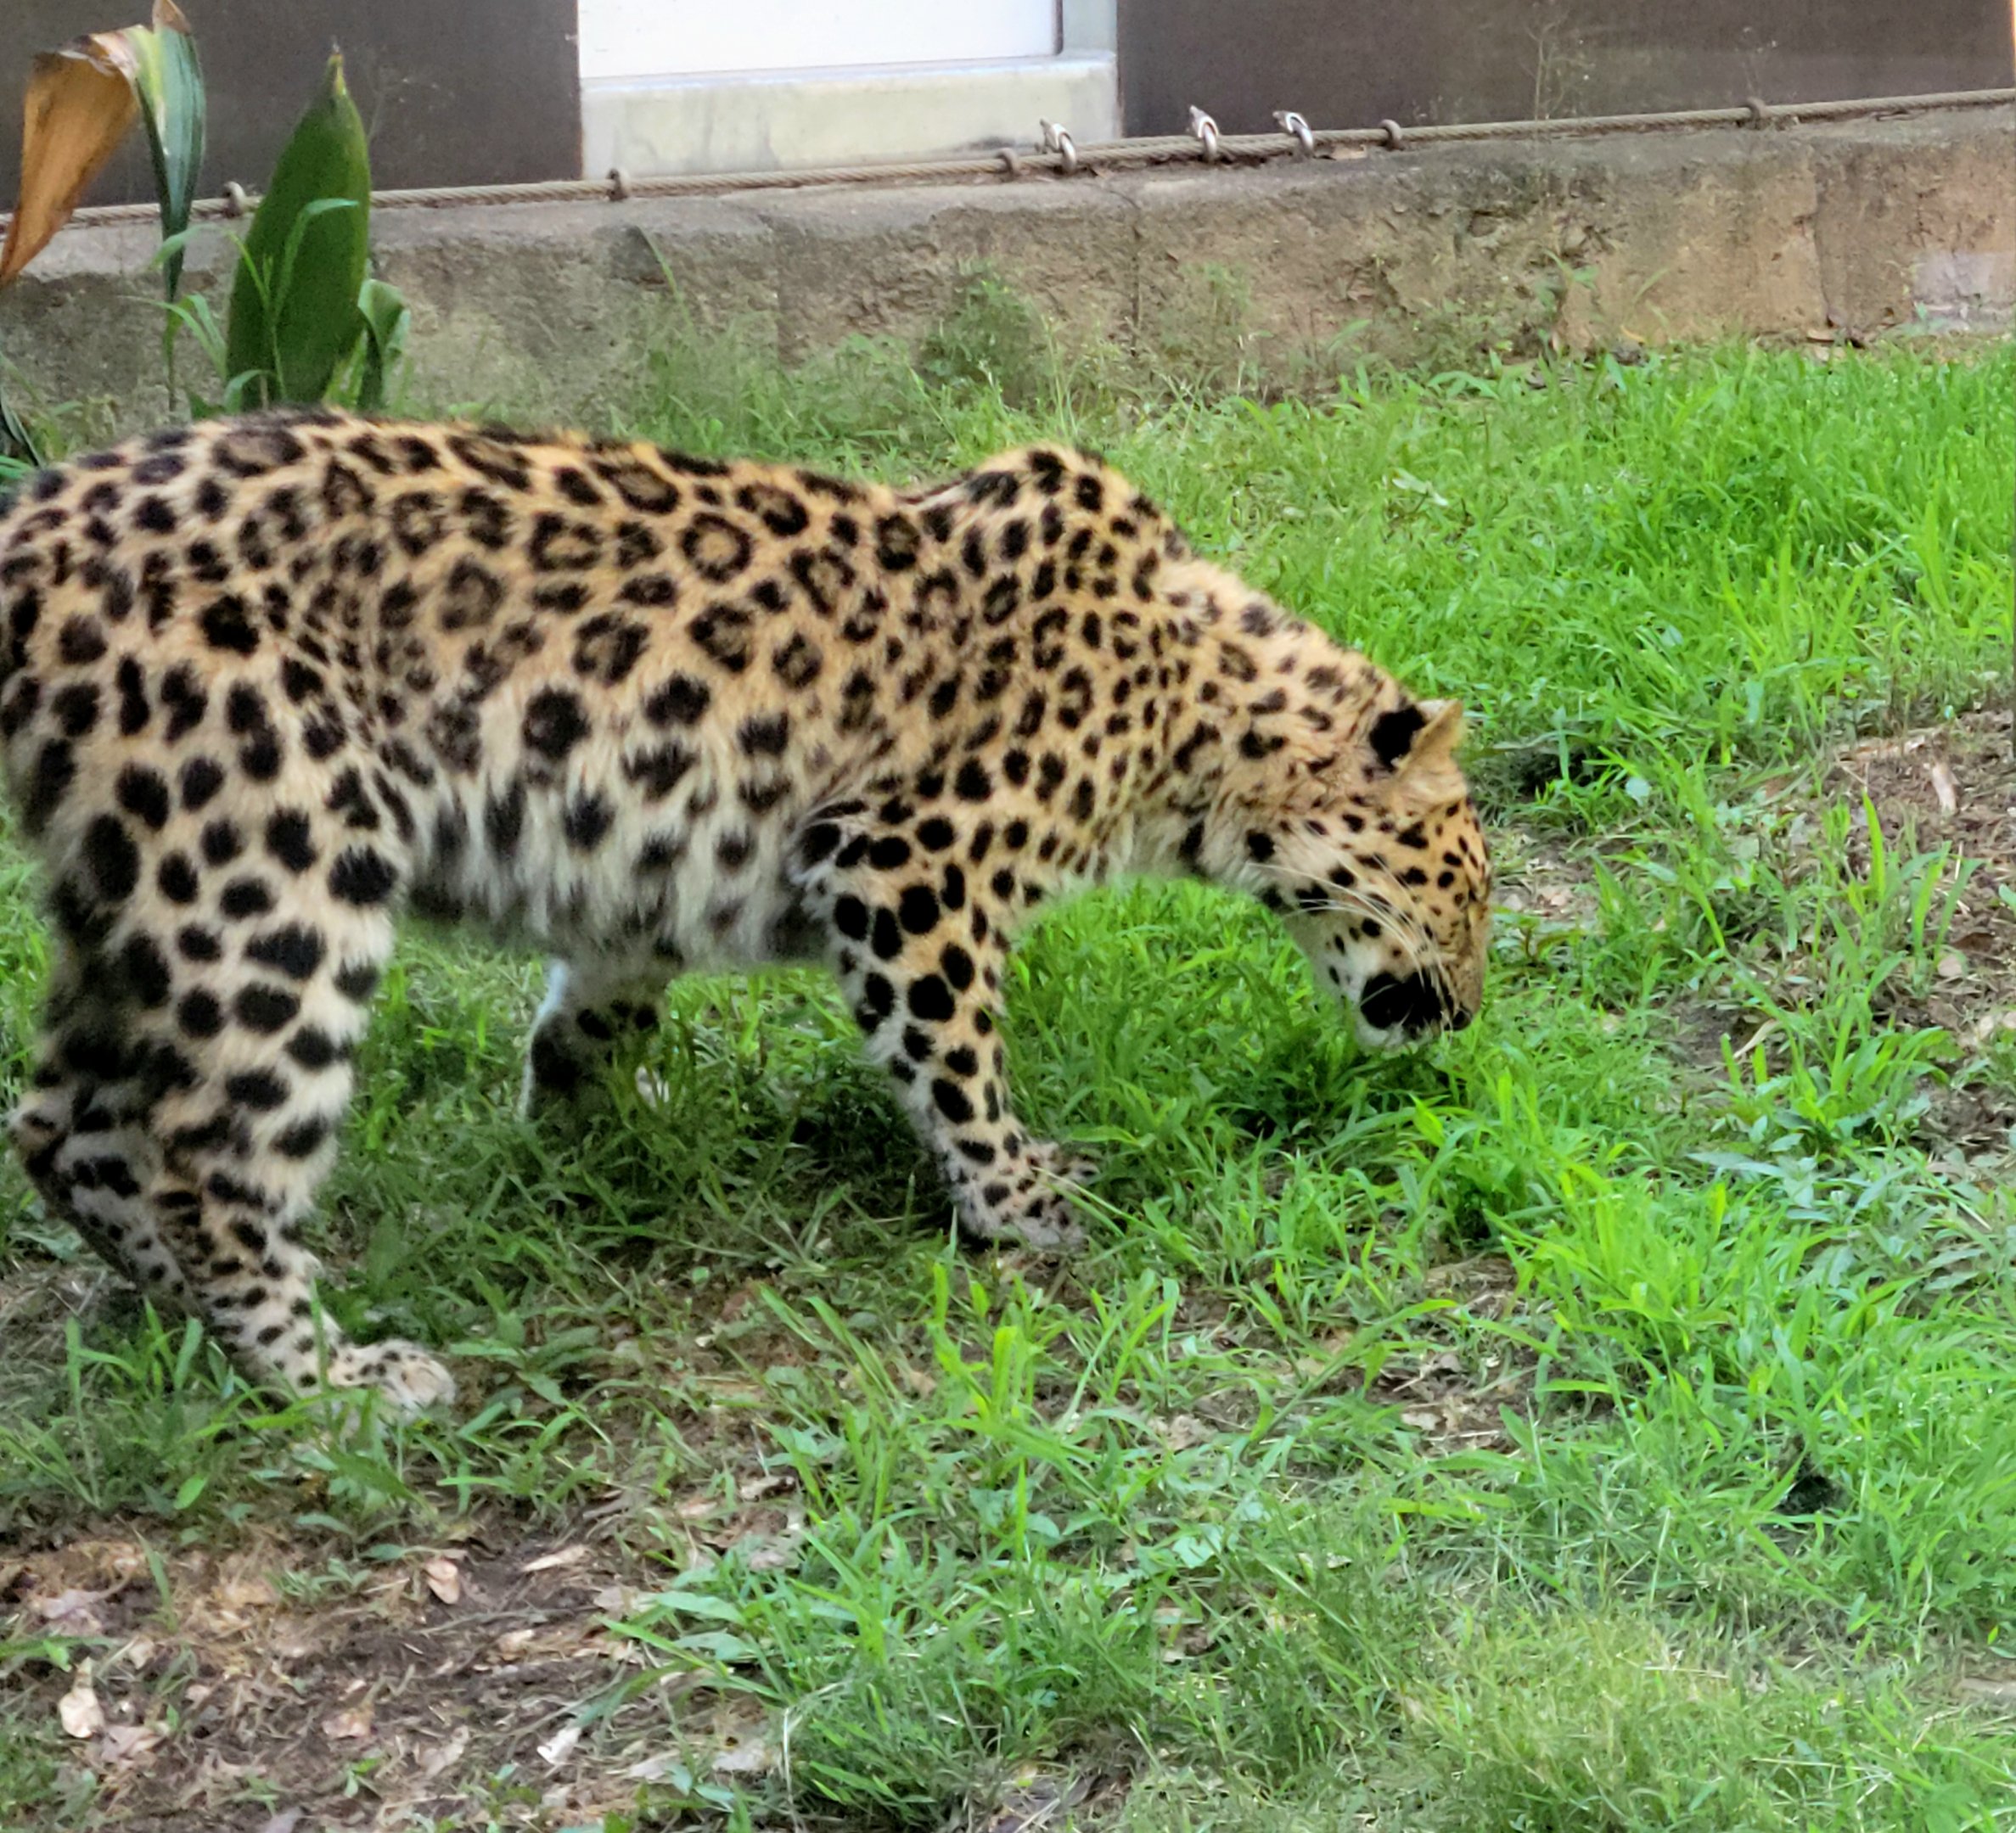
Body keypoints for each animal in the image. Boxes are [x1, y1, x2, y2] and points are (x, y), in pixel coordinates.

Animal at [0, 409, 1491, 1413]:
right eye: (1464, 886)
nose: (1468, 1016)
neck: (1194, 722)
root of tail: (37, 522)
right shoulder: (906, 864)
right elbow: (958, 1058)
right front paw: (1020, 1206)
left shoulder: (643, 877)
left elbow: (592, 1010)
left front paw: (585, 1136)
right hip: (272, 874)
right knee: (203, 1156)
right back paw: (329, 1378)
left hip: (138, 889)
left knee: (67, 1125)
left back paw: (170, 1314)